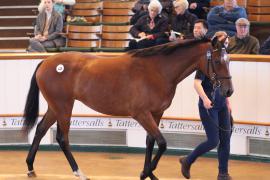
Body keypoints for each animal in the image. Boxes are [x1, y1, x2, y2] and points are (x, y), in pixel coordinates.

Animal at [21, 37, 232, 180]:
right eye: (218, 61)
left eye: (228, 60)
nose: (228, 91)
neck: (157, 71)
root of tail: (46, 61)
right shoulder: (141, 114)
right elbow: (162, 143)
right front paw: (146, 173)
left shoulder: (156, 113)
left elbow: (150, 142)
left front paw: (148, 173)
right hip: (64, 106)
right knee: (62, 138)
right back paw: (79, 172)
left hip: (55, 107)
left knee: (41, 129)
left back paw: (30, 167)